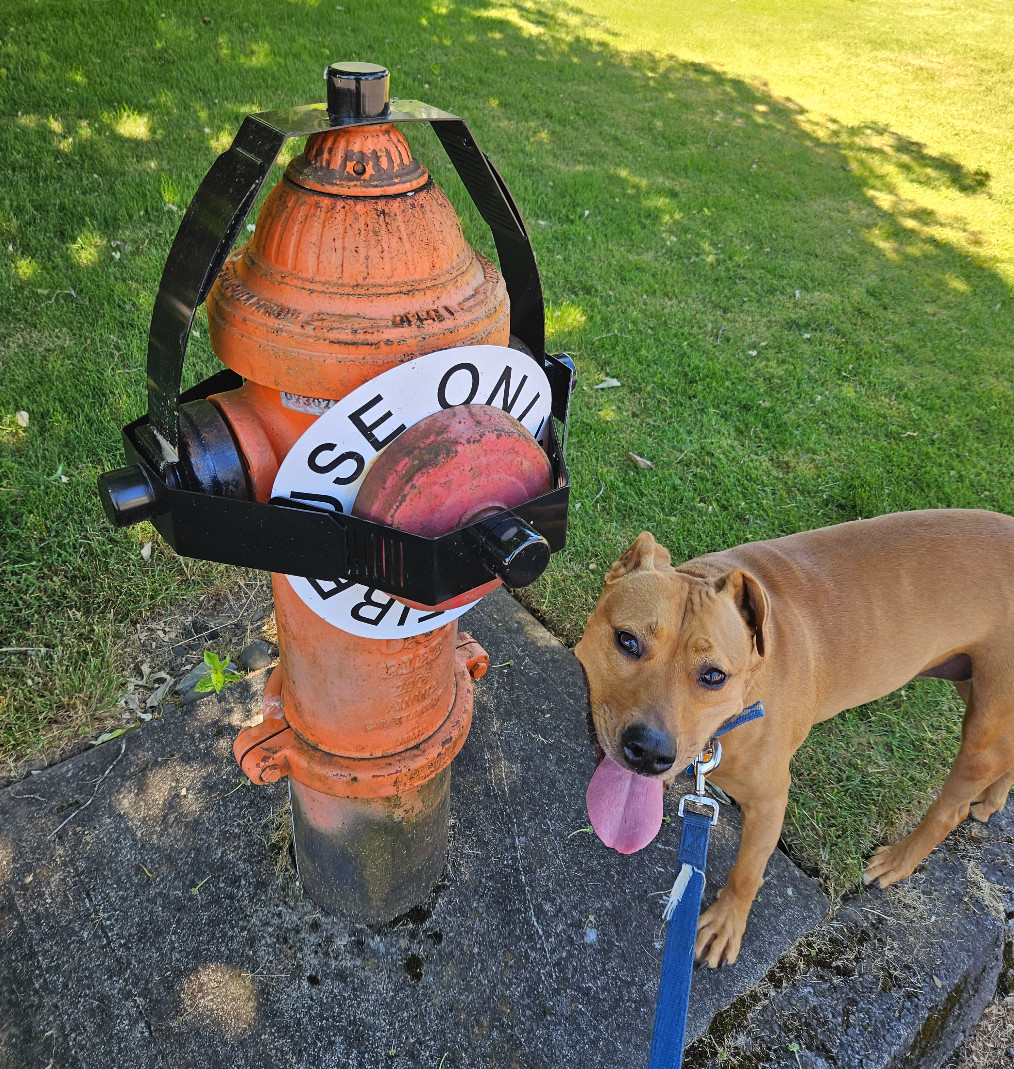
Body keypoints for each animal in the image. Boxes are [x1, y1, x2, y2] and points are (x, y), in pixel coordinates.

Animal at [572, 508, 1012, 970]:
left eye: (714, 676)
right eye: (627, 641)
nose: (650, 753)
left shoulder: (770, 800)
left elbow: (747, 871)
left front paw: (726, 924)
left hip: (984, 729)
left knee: (951, 809)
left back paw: (898, 860)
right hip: (974, 690)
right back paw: (992, 798)